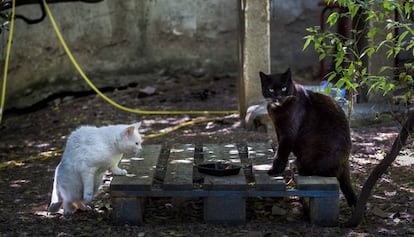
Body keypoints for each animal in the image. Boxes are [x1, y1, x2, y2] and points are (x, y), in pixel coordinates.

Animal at [260, 67, 358, 206]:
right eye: (271, 90)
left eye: (284, 88)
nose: (278, 96)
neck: (277, 110)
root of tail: (346, 162)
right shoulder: (279, 130)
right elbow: (280, 151)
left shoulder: (288, 134)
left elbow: (281, 153)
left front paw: (275, 170)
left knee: (326, 172)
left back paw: (302, 170)